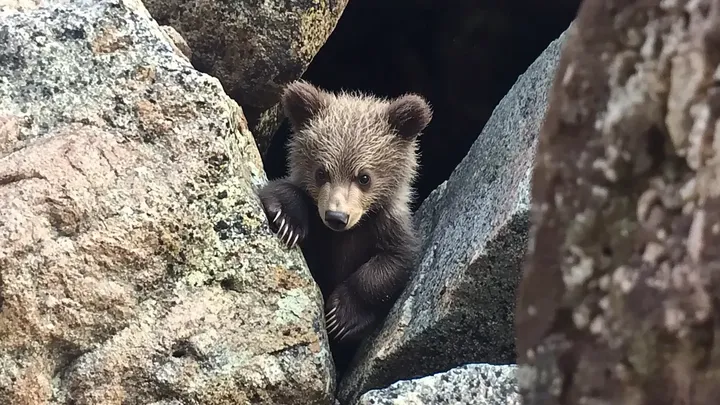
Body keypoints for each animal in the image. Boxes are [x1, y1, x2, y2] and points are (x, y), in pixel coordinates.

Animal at [256, 80, 432, 378]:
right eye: (321, 172)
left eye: (364, 177)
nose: (337, 216)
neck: (344, 236)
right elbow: (283, 191)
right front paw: (287, 219)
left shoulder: (385, 226)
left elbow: (392, 265)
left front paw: (342, 316)